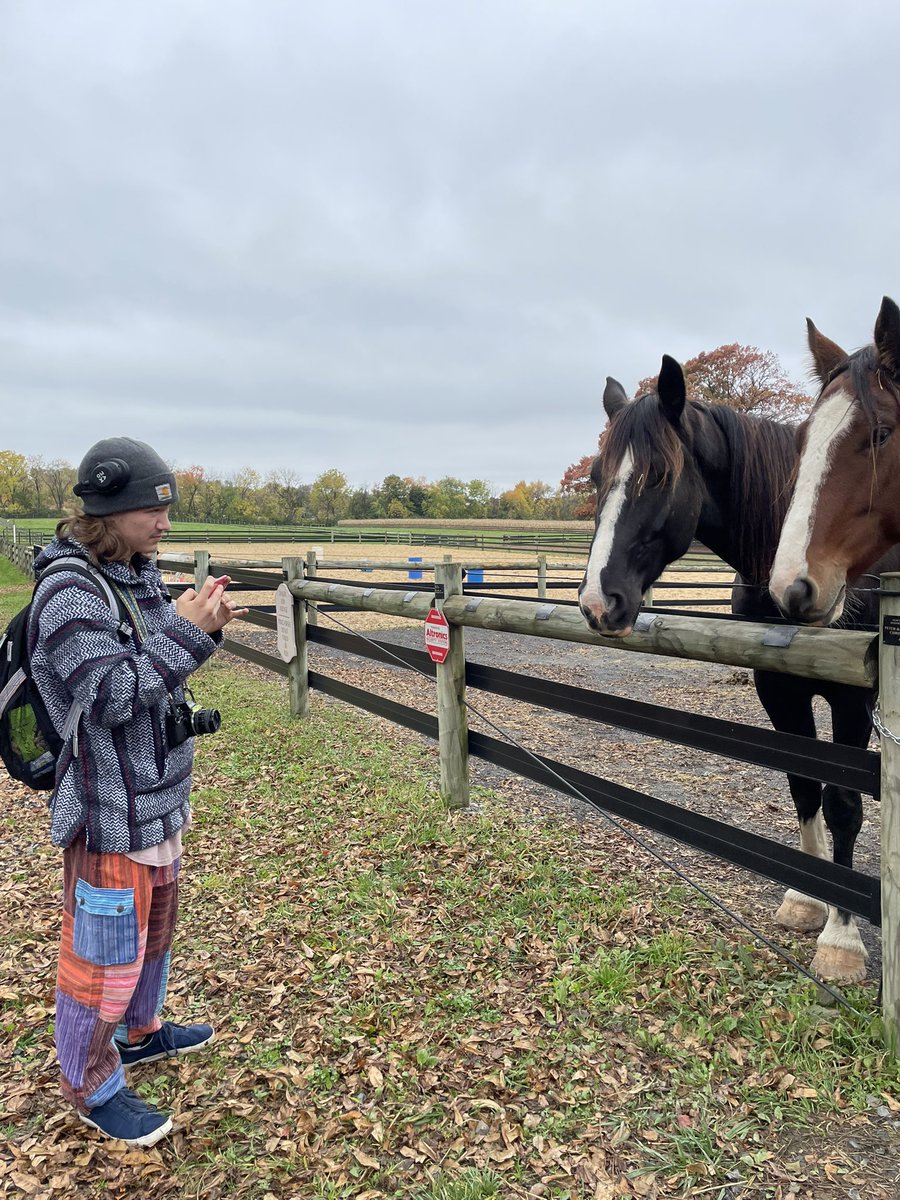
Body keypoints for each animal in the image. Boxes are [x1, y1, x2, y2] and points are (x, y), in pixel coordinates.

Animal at [578, 354, 893, 982]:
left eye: (658, 475)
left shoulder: (854, 700)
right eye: (599, 478)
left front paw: (841, 940)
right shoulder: (779, 689)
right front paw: (806, 900)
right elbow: (803, 787)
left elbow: (844, 805)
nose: (599, 603)